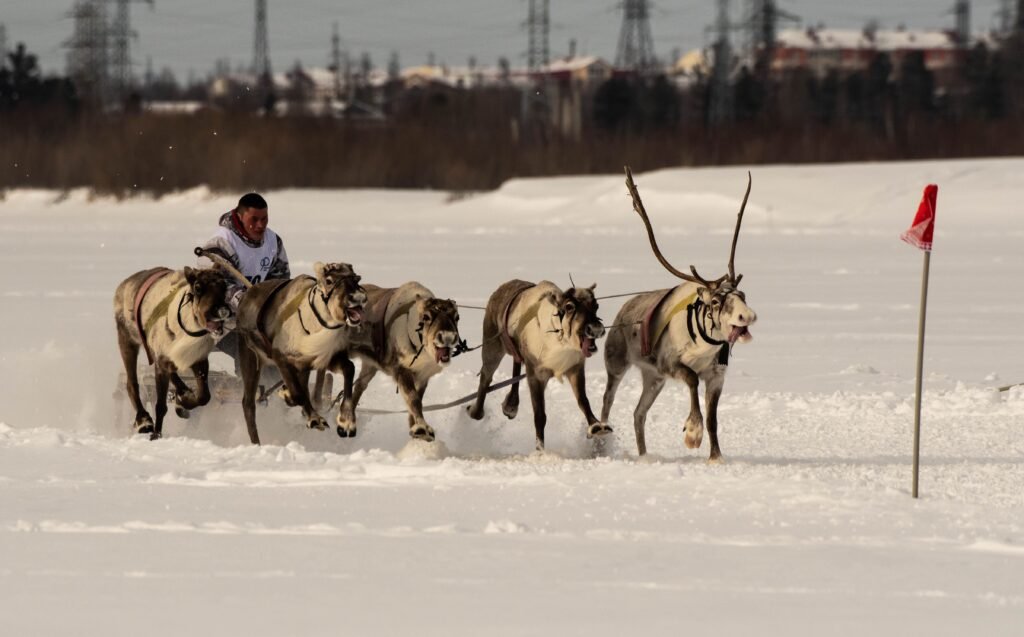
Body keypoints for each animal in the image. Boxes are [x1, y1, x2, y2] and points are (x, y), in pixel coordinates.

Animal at [601, 167, 757, 461]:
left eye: (742, 295)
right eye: (716, 300)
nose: (748, 316)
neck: (703, 342)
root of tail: (623, 309)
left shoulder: (716, 375)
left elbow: (713, 419)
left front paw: (716, 457)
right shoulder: (670, 363)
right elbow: (693, 381)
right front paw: (692, 434)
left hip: (653, 378)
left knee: (638, 413)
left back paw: (644, 455)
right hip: (617, 362)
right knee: (607, 400)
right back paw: (599, 437)